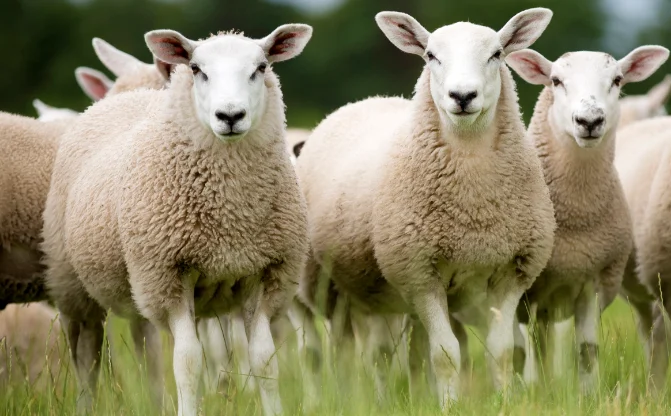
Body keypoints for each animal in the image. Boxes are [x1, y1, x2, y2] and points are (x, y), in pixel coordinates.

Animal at [42, 24, 312, 416]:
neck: (232, 217)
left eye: (261, 68)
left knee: (145, 351)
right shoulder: (170, 275)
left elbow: (264, 361)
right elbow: (188, 362)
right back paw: (86, 405)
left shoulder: (263, 272)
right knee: (87, 355)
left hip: (138, 287)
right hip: (74, 283)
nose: (230, 116)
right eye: (197, 69)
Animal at [295, 8, 555, 406]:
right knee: (344, 352)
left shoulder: (513, 271)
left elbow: (503, 351)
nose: (462, 96)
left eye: (497, 54)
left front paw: (505, 402)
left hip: (385, 296)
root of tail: (368, 99)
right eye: (431, 55)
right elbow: (445, 354)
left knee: (392, 352)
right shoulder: (419, 274)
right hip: (330, 289)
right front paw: (449, 407)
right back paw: (350, 398)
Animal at [505, 45, 669, 390]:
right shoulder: (514, 286)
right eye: (556, 80)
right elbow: (514, 353)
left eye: (617, 80)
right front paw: (512, 395)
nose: (590, 120)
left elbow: (587, 351)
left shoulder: (593, 282)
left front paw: (587, 395)